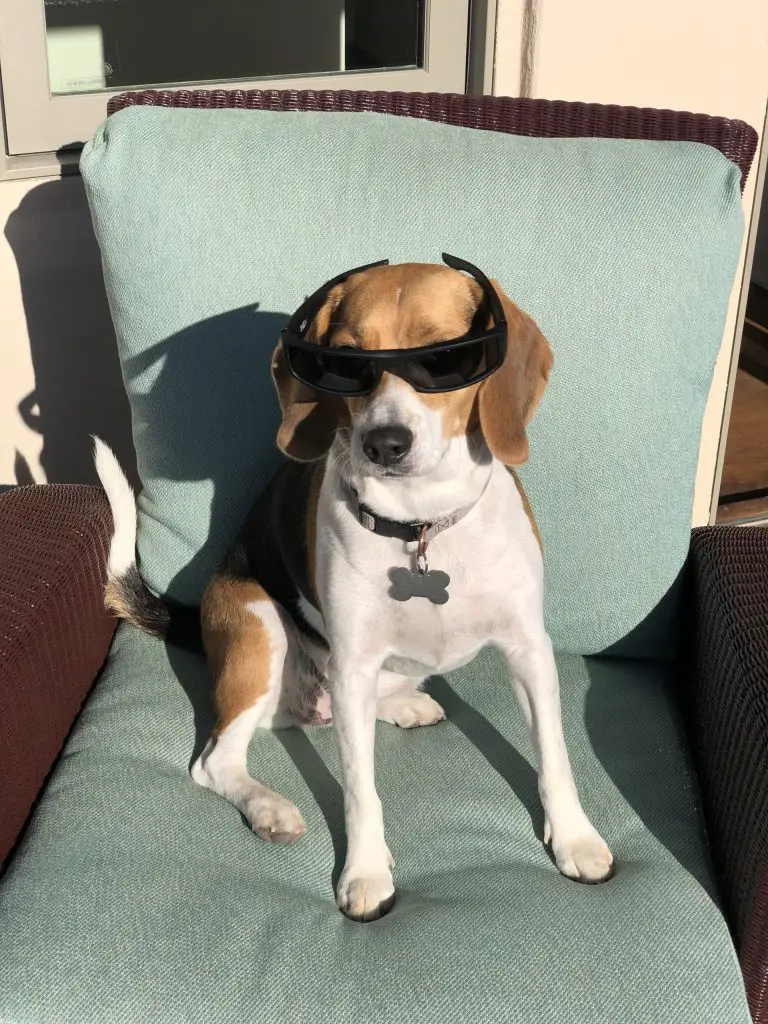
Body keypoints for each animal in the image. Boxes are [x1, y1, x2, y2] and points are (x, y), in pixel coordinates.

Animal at [94, 253, 614, 921]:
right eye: (344, 361)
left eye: (445, 357)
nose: (384, 443)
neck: (421, 525)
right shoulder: (354, 661)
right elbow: (360, 790)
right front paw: (365, 874)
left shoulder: (529, 650)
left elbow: (554, 754)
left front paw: (575, 838)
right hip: (261, 630)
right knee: (217, 760)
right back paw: (270, 807)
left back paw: (405, 705)